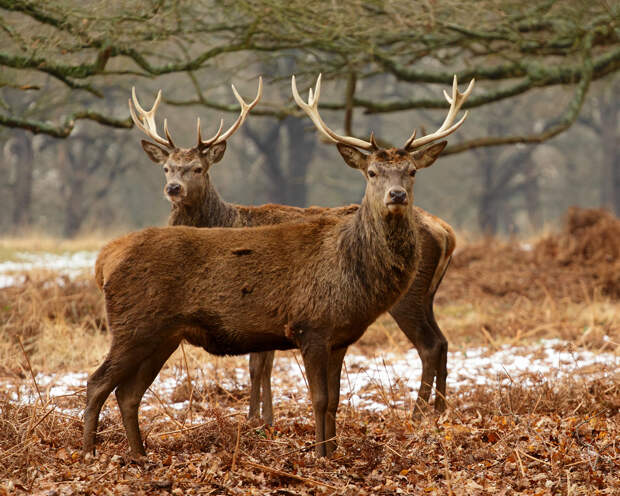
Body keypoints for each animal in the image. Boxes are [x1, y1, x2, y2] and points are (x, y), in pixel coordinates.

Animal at [83, 72, 474, 458]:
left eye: (411, 171)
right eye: (373, 172)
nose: (397, 195)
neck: (350, 269)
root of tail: (104, 260)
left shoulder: (340, 336)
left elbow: (333, 400)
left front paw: (331, 451)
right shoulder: (309, 325)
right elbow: (317, 398)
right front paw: (317, 454)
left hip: (162, 334)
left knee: (127, 392)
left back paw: (139, 455)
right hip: (134, 325)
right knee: (97, 382)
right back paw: (90, 453)